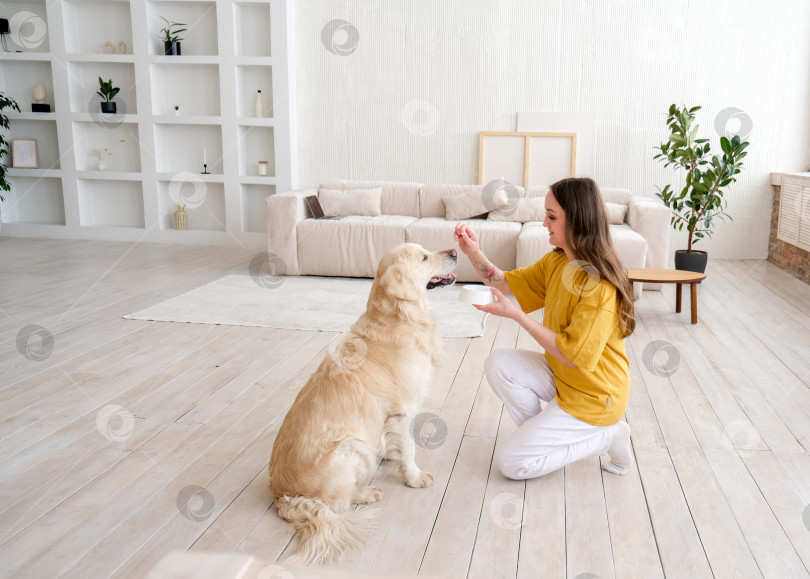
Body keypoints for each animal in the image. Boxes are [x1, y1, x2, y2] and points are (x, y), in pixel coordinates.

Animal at [266, 244, 454, 568]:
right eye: (424, 257)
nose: (455, 251)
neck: (399, 316)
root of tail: (282, 494)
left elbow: (392, 439)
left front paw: (391, 453)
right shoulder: (404, 410)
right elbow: (410, 447)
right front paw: (415, 477)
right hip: (353, 447)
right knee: (339, 500)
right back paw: (367, 493)